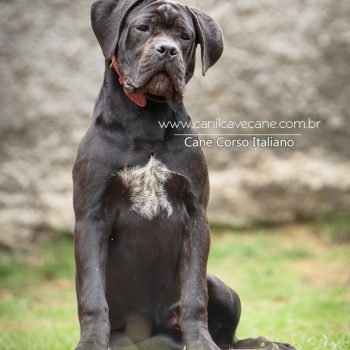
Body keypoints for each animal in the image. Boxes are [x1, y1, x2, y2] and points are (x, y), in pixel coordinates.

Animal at [72, 0, 296, 350]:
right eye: (142, 28)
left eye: (185, 36)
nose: (167, 50)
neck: (148, 117)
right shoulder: (91, 217)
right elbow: (92, 294)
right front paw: (92, 343)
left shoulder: (195, 216)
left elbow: (194, 295)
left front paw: (202, 342)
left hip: (223, 288)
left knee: (228, 336)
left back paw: (265, 343)